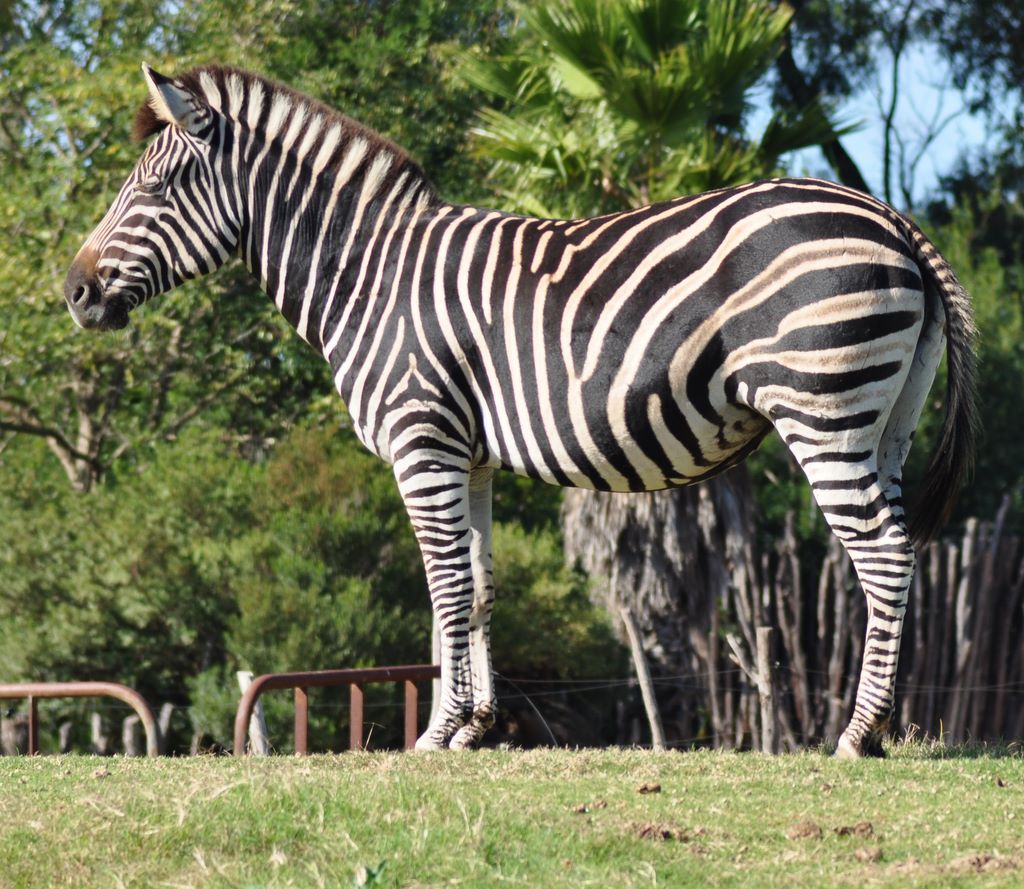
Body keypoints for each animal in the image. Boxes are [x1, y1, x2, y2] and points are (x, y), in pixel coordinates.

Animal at [65, 64, 976, 758]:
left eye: (151, 187)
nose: (73, 292)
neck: (367, 272)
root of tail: (891, 217)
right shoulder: (465, 454)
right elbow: (480, 585)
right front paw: (473, 727)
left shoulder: (420, 437)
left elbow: (444, 586)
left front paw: (435, 735)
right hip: (884, 421)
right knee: (902, 545)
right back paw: (879, 728)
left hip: (822, 405)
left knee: (883, 555)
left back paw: (858, 733)